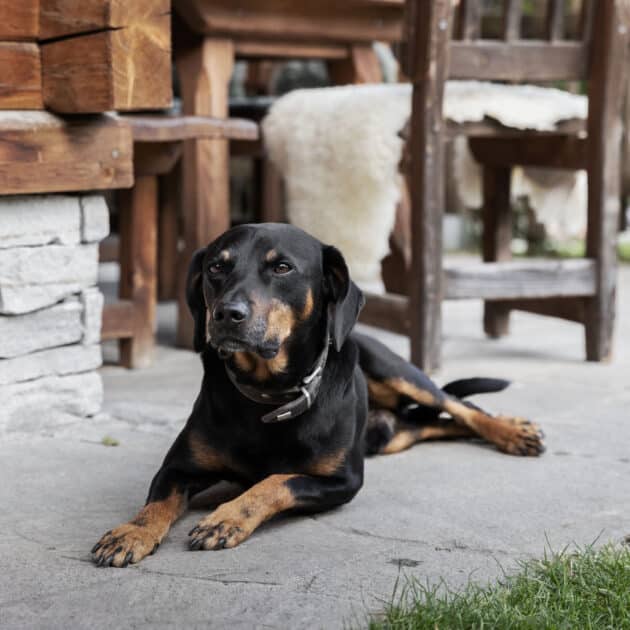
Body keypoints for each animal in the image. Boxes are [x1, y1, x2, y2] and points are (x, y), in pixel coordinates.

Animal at [91, 225, 544, 572]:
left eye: (282, 267)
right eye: (216, 267)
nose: (226, 314)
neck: (269, 397)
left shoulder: (343, 481)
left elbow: (275, 481)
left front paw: (227, 518)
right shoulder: (178, 468)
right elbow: (156, 502)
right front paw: (131, 532)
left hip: (396, 370)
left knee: (457, 405)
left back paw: (513, 431)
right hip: (392, 436)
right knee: (434, 424)